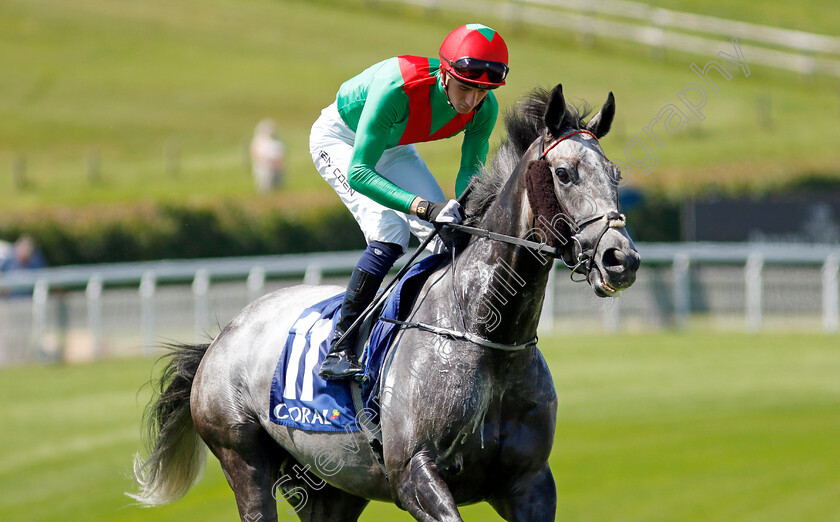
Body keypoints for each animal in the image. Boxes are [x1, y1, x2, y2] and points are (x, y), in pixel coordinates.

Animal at [130, 83, 644, 516]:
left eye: (615, 174)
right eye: (564, 173)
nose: (621, 259)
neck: (480, 330)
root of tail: (222, 338)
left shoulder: (529, 483)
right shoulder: (414, 473)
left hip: (330, 486)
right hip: (243, 456)